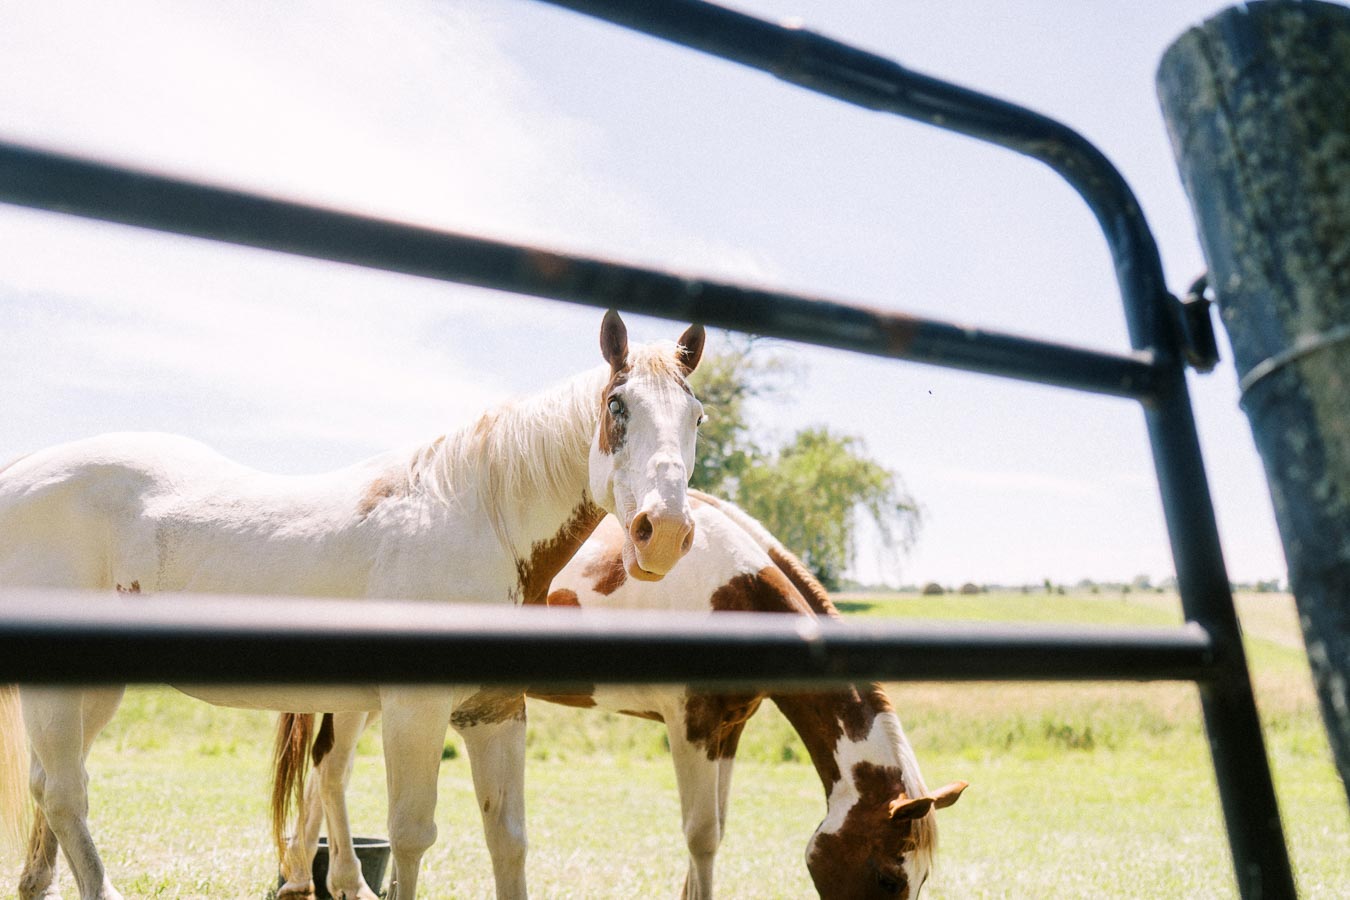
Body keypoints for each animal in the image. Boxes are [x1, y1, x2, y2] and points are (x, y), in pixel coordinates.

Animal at [0, 310, 707, 900]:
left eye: (695, 417)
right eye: (617, 406)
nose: (664, 532)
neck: (482, 520)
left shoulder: (495, 715)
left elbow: (508, 843)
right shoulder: (415, 713)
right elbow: (411, 837)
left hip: (93, 690)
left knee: (48, 787)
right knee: (64, 793)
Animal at [274, 491, 967, 900]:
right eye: (887, 875)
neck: (736, 591)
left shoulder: (725, 731)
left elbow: (715, 831)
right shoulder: (690, 724)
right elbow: (701, 835)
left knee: (322, 772)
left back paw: (297, 881)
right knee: (330, 768)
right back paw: (340, 883)